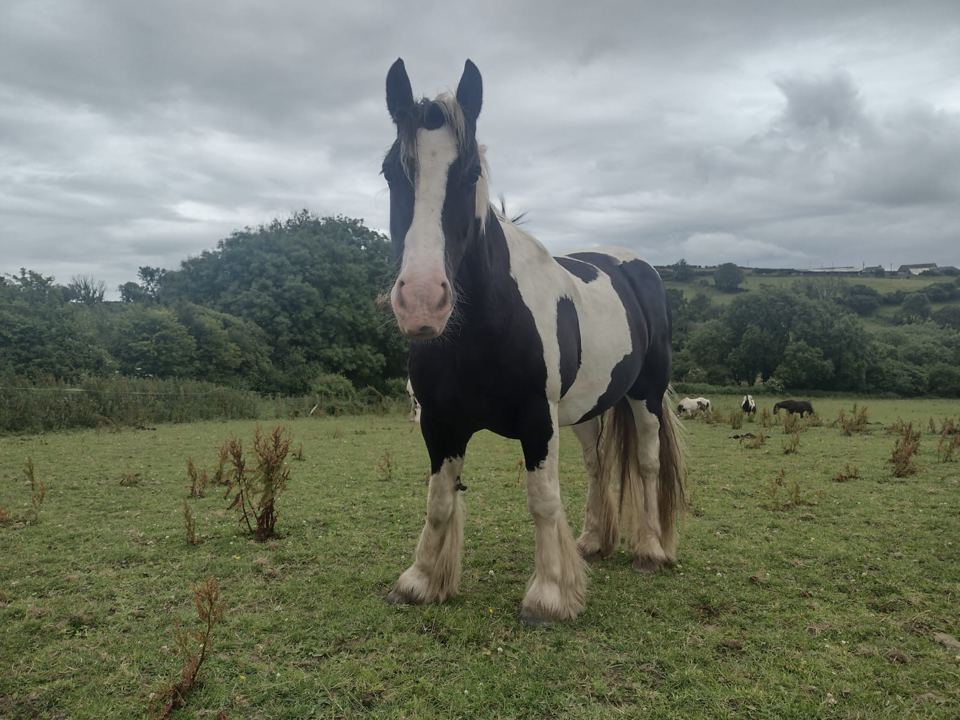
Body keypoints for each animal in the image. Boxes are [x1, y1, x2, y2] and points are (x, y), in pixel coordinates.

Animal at [381, 58, 685, 624]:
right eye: (392, 171)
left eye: (470, 174)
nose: (422, 301)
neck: (483, 324)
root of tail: (636, 266)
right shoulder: (439, 422)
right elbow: (439, 500)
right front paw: (422, 579)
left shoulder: (537, 422)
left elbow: (542, 500)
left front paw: (549, 594)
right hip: (586, 411)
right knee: (596, 465)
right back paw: (594, 541)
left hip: (646, 395)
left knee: (648, 462)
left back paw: (651, 550)